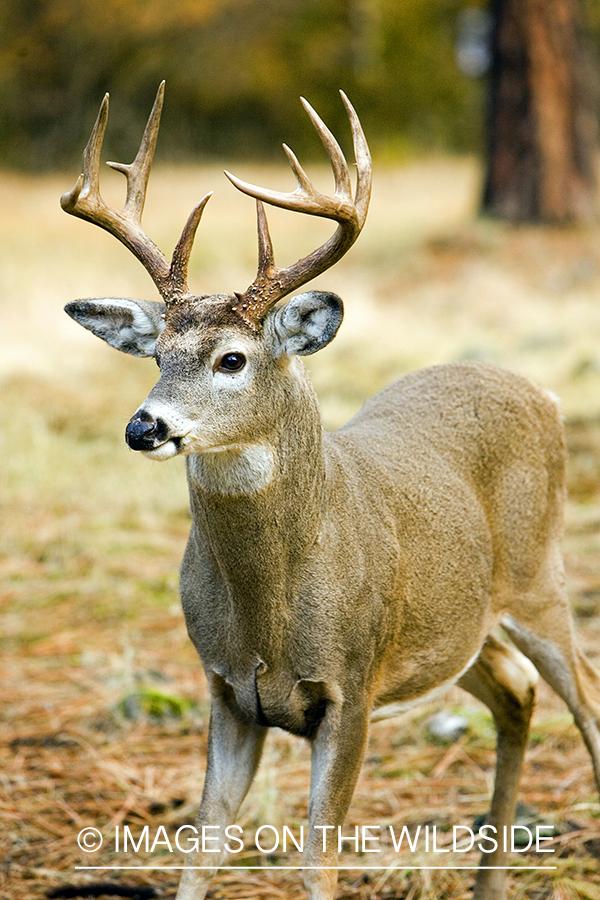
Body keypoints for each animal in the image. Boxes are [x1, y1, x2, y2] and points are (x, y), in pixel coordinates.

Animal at [62, 82, 600, 892]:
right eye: (156, 355)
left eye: (231, 358)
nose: (144, 426)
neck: (271, 611)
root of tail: (542, 391)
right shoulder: (226, 687)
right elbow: (203, 844)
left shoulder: (352, 683)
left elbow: (319, 860)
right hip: (459, 630)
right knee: (516, 692)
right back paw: (488, 880)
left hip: (542, 578)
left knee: (587, 700)